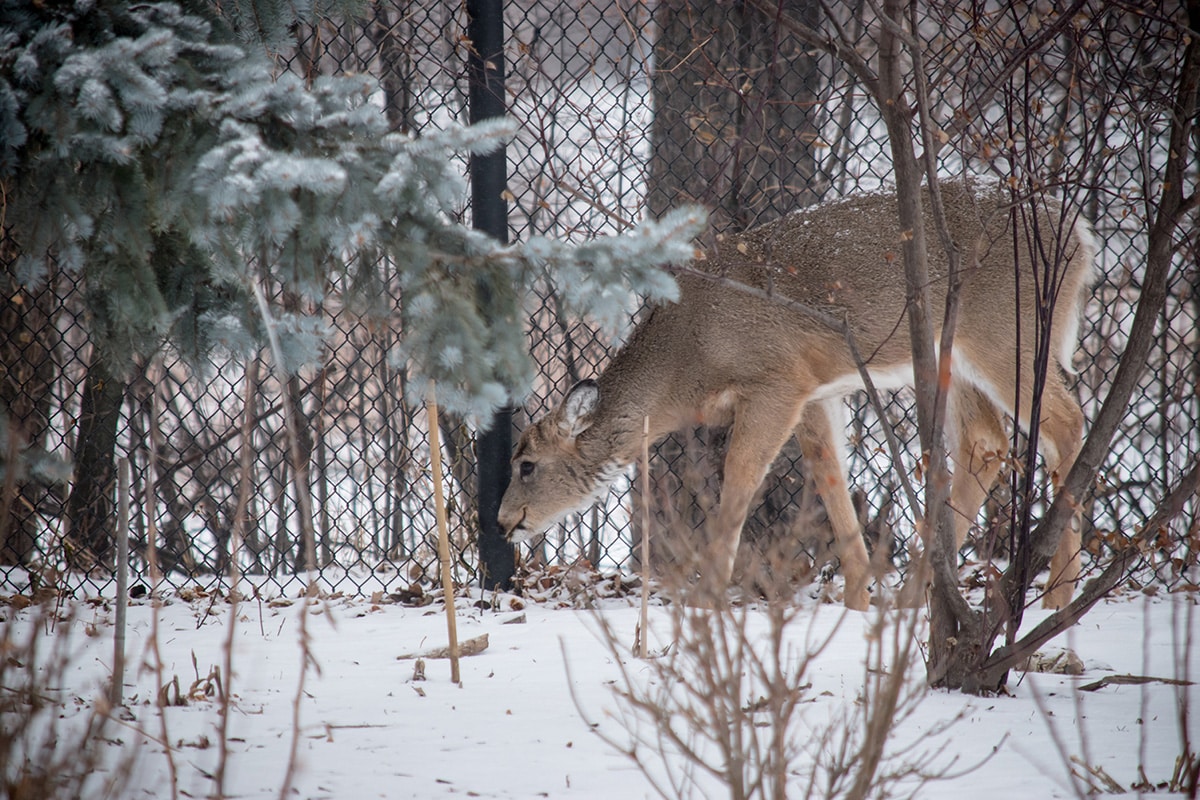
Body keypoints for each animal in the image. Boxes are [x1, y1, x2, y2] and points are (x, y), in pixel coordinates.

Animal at [496, 178, 1099, 609]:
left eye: (526, 464)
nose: (504, 520)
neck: (690, 358)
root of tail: (1081, 235)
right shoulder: (813, 391)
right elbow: (830, 474)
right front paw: (858, 600)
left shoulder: (776, 380)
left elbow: (741, 475)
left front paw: (709, 596)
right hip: (954, 359)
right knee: (985, 442)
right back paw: (915, 595)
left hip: (1008, 334)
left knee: (1066, 422)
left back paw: (1058, 597)